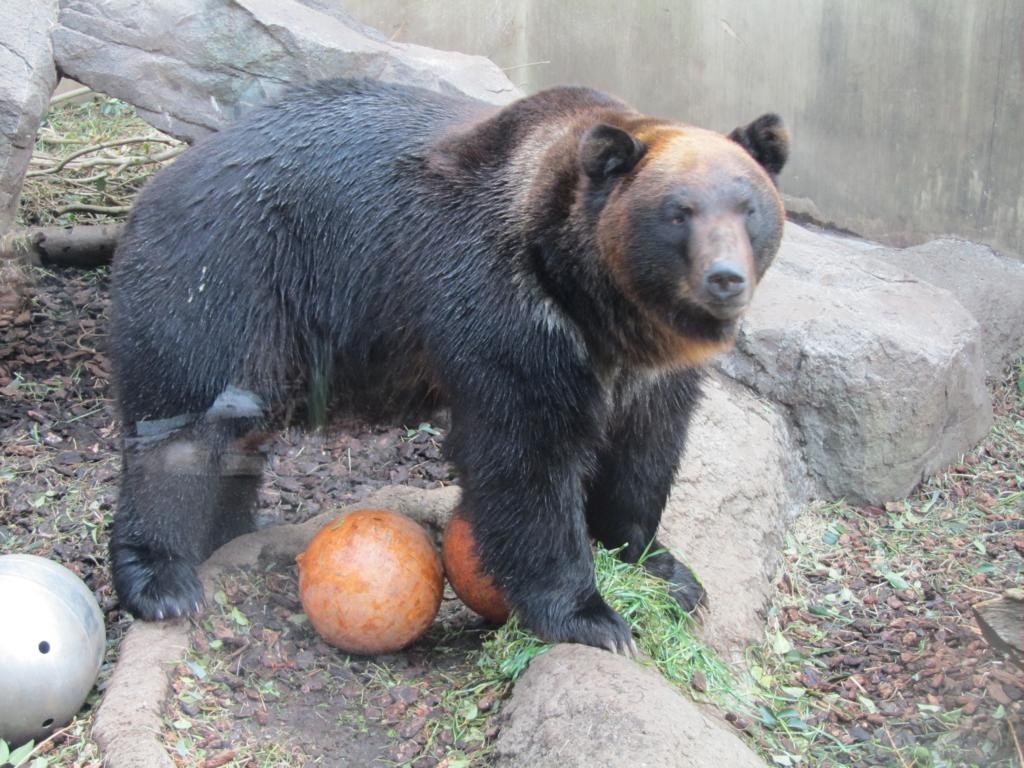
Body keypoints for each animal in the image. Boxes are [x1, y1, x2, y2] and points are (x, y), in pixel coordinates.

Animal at [108, 78, 788, 654]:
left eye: (747, 206)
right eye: (678, 211)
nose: (724, 278)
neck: (596, 307)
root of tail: (157, 180)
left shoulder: (650, 373)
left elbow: (644, 453)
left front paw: (665, 567)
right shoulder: (502, 311)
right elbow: (525, 457)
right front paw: (592, 615)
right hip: (224, 274)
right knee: (181, 425)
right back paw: (162, 580)